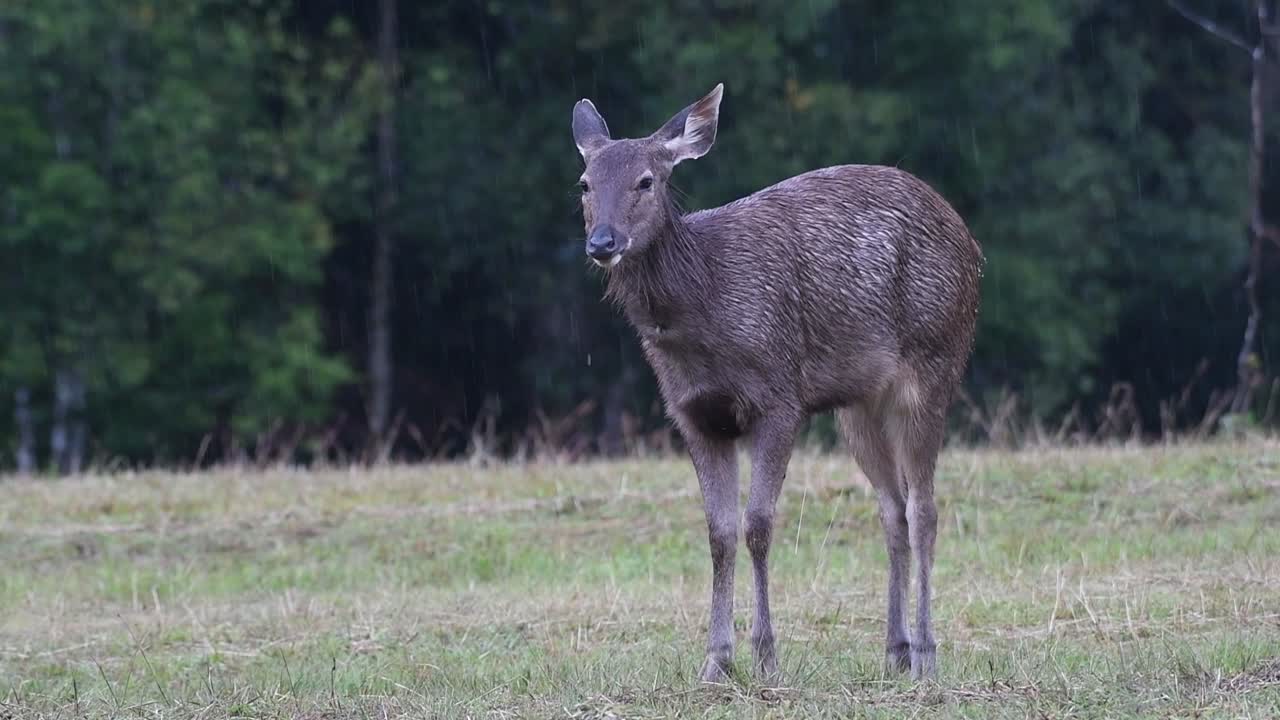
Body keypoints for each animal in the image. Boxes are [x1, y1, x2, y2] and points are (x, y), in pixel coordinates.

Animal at [570, 83, 982, 684]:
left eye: (646, 180)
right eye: (584, 183)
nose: (602, 242)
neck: (705, 303)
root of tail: (971, 243)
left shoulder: (779, 396)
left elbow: (758, 525)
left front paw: (766, 656)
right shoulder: (692, 414)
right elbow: (718, 533)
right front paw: (715, 662)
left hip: (934, 361)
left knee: (923, 509)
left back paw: (926, 654)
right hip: (857, 404)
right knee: (891, 508)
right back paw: (895, 650)